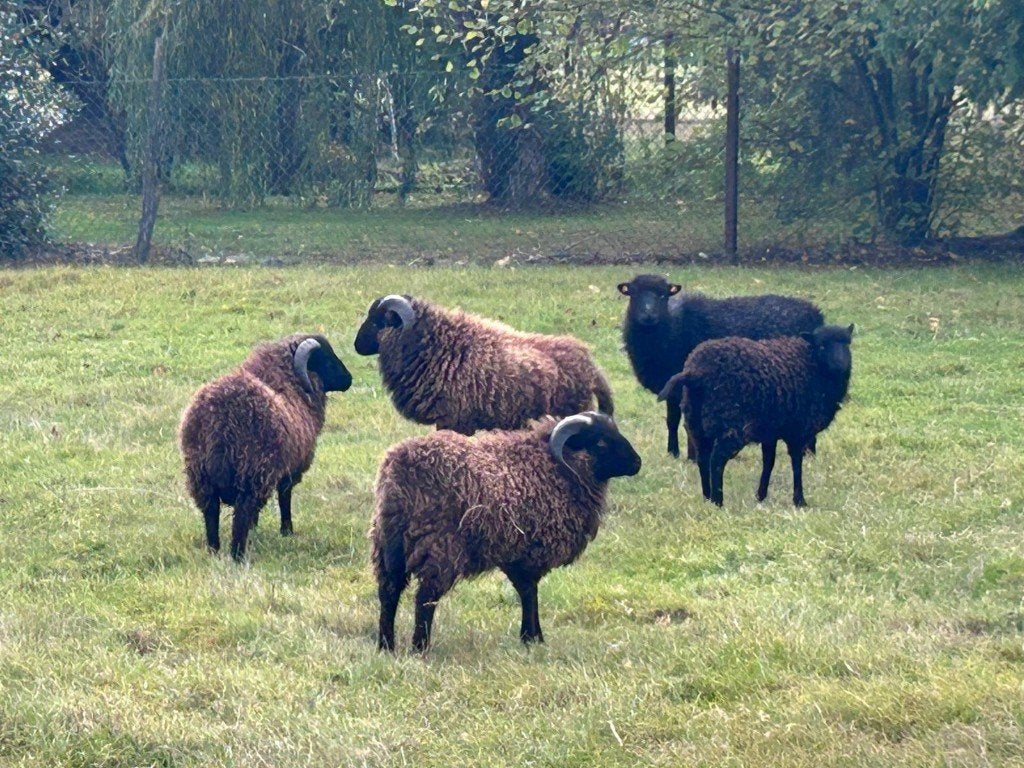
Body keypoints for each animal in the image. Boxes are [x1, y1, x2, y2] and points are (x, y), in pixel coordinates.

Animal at [178, 333, 352, 561]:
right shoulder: (289, 469)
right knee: (242, 515)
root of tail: (220, 420)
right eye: (326, 360)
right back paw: (238, 555)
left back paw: (214, 550)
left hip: (200, 476)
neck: (287, 383)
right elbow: (285, 497)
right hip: (252, 472)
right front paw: (286, 531)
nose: (349, 379)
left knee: (211, 514)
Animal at [371, 411, 642, 652]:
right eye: (601, 441)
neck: (554, 467)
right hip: (439, 546)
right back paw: (420, 647)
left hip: (388, 543)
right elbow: (530, 592)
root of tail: (399, 474)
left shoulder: (515, 554)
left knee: (389, 591)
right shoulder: (531, 550)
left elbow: (525, 591)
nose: (637, 463)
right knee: (426, 597)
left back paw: (386, 645)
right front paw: (533, 638)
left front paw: (531, 637)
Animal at [618, 274, 824, 458]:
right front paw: (674, 454)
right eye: (633, 293)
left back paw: (808, 454)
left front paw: (690, 456)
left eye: (663, 295)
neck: (673, 327)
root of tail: (815, 313)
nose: (648, 314)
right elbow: (672, 421)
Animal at [658, 324, 854, 507]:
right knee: (716, 460)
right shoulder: (797, 430)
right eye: (821, 346)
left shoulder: (770, 432)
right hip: (730, 424)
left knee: (703, 460)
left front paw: (761, 496)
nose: (840, 364)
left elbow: (769, 462)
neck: (811, 364)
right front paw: (799, 501)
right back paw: (718, 501)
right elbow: (796, 464)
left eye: (847, 343)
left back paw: (707, 498)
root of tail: (696, 372)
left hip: (696, 423)